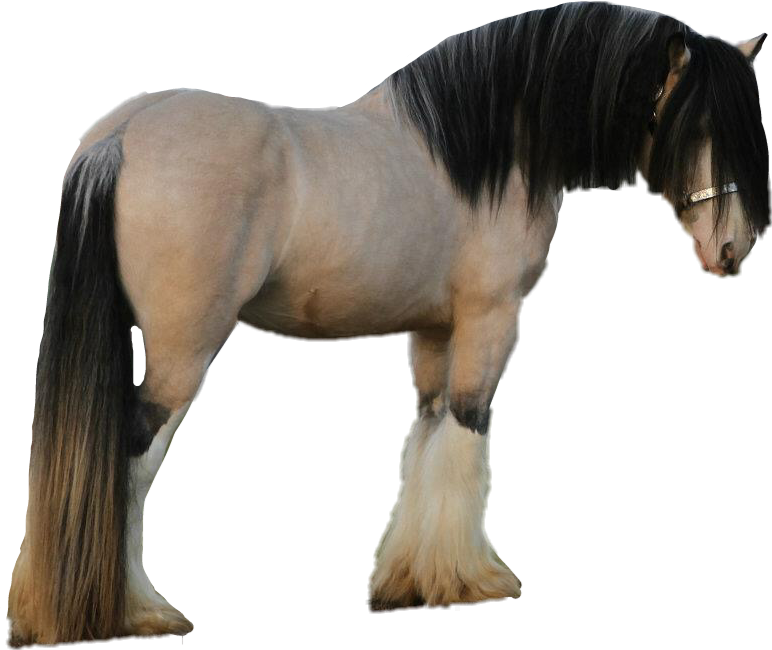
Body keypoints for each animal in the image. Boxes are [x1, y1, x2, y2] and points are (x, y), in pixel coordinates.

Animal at [8, 1, 769, 644]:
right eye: (698, 126)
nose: (732, 249)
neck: (484, 152)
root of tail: (121, 134)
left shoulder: (432, 331)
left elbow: (426, 438)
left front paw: (410, 582)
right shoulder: (491, 322)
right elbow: (467, 432)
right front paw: (473, 579)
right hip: (180, 351)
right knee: (130, 458)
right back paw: (139, 612)